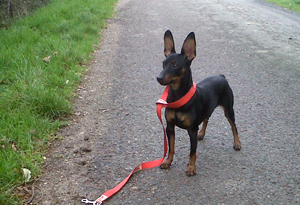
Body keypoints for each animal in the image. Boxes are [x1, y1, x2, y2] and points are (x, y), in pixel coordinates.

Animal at [157, 30, 241, 176]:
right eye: (164, 63)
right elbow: (171, 148)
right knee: (206, 118)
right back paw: (202, 134)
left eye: (175, 65)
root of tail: (221, 76)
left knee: (233, 126)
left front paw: (191, 168)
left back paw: (237, 143)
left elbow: (192, 152)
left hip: (228, 108)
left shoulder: (192, 130)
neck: (178, 96)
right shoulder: (170, 127)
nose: (159, 77)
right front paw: (167, 162)